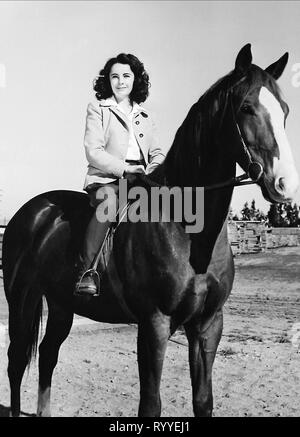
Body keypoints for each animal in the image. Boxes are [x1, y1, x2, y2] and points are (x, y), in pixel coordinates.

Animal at [1, 44, 298, 416]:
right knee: (16, 361)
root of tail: (32, 211)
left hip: (60, 304)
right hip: (21, 298)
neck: (189, 232)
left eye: (284, 110)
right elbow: (150, 404)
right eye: (246, 107)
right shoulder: (154, 324)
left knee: (47, 355)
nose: (285, 184)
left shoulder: (208, 324)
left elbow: (203, 400)